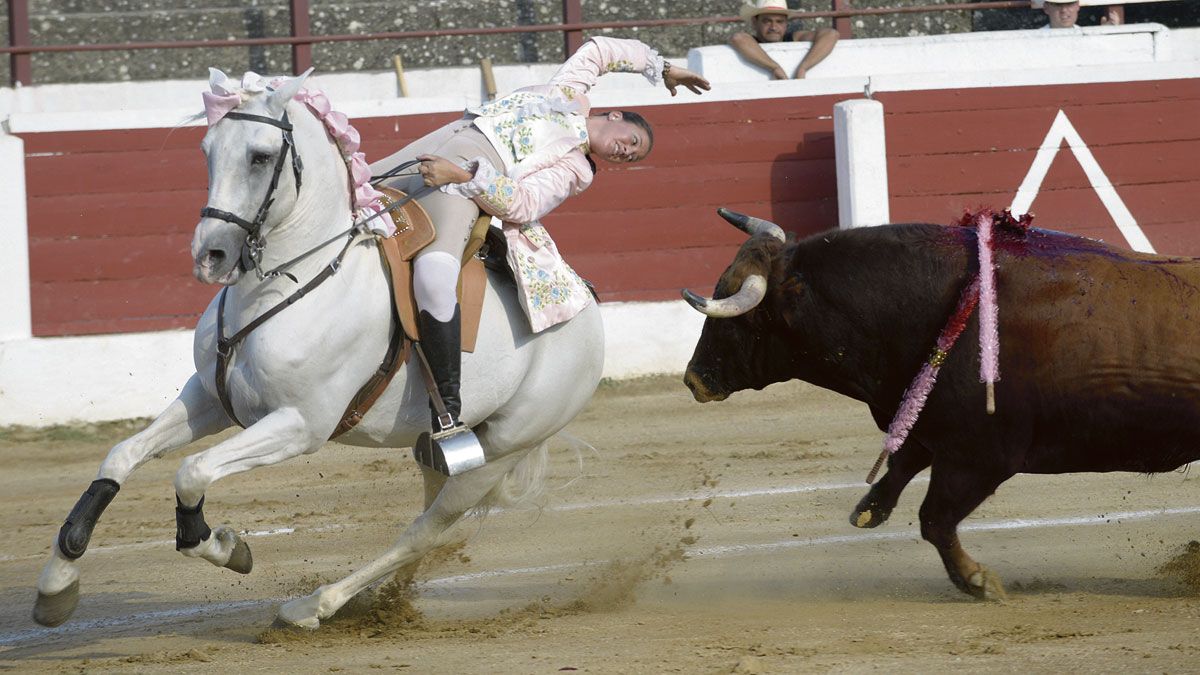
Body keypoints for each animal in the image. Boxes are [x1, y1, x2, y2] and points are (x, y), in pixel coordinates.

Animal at [32, 68, 604, 624]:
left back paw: (314, 606)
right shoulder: (210, 397)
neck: (285, 283)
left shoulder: (300, 425)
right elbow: (121, 455)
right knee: (427, 521)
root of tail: (589, 309)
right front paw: (58, 582)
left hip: (499, 451)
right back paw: (387, 601)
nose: (210, 256)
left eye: (261, 156)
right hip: (437, 450)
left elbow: (191, 471)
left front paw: (227, 547)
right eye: (207, 149)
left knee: (424, 529)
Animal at [681, 207, 1200, 595]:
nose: (693, 380)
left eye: (741, 319)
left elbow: (934, 519)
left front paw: (978, 582)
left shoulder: (979, 458)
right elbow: (902, 462)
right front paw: (869, 508)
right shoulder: (932, 428)